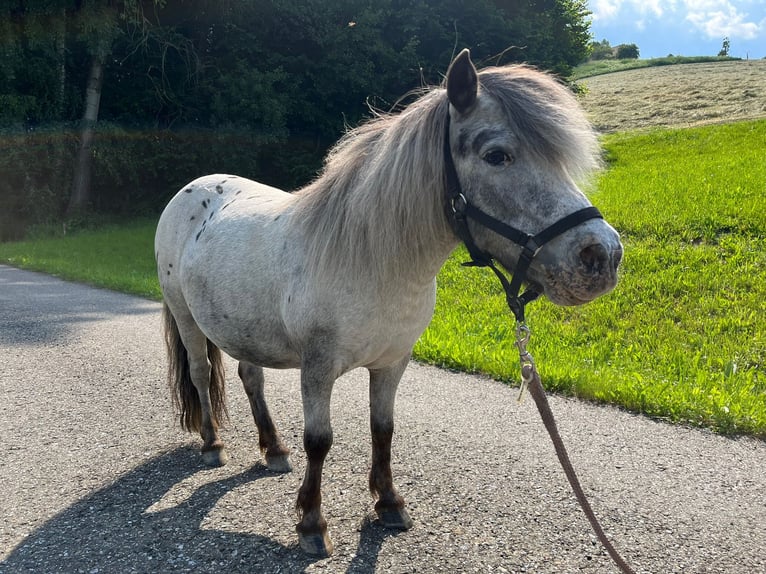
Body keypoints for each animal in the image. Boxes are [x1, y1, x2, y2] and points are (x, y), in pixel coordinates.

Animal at [154, 49, 624, 560]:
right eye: (497, 155)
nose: (601, 257)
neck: (369, 259)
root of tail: (193, 189)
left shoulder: (392, 362)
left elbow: (383, 430)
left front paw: (389, 504)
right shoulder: (317, 368)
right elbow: (319, 441)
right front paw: (312, 523)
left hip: (242, 328)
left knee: (250, 377)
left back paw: (274, 450)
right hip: (186, 317)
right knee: (202, 373)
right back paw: (211, 445)